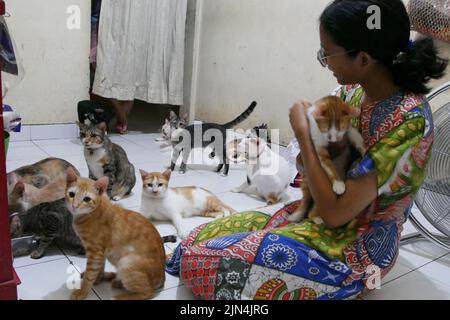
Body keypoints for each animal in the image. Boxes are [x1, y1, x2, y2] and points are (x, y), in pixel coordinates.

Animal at [66, 168, 166, 300]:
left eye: (86, 199)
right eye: (71, 194)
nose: (74, 206)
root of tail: (163, 277)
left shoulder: (95, 252)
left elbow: (90, 275)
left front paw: (82, 291)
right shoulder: (100, 253)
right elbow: (99, 269)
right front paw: (99, 279)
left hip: (126, 263)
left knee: (147, 292)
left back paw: (120, 296)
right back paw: (116, 280)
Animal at [288, 96, 366, 224]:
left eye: (340, 129)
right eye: (327, 130)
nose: (334, 139)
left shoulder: (350, 131)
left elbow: (358, 140)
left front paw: (367, 152)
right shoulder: (319, 147)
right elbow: (329, 166)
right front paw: (338, 184)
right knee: (311, 212)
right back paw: (318, 219)